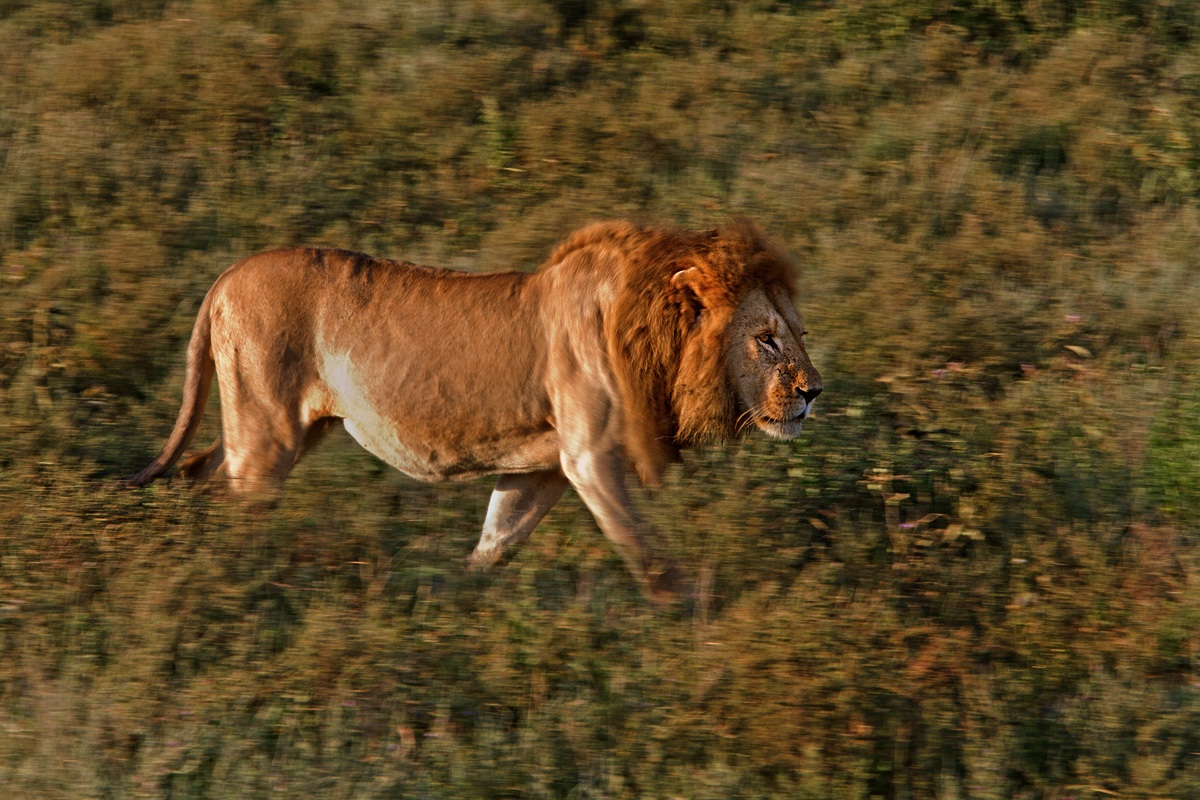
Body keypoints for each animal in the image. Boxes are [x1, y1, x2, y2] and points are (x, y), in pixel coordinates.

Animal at [129, 220, 823, 600]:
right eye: (766, 340)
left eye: (797, 332)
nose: (814, 392)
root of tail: (226, 276)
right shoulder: (589, 458)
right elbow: (644, 550)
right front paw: (692, 616)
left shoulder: (538, 468)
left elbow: (497, 541)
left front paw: (458, 603)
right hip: (266, 430)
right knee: (233, 507)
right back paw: (235, 584)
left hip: (275, 425)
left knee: (197, 473)